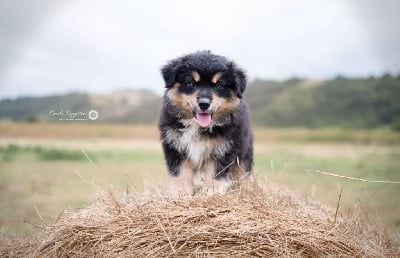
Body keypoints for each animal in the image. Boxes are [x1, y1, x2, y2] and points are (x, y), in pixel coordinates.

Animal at [158, 50, 252, 195]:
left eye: (219, 85)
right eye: (191, 83)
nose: (204, 104)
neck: (198, 127)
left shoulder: (224, 149)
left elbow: (215, 173)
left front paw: (211, 193)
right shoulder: (175, 146)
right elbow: (180, 173)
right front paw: (180, 193)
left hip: (244, 152)